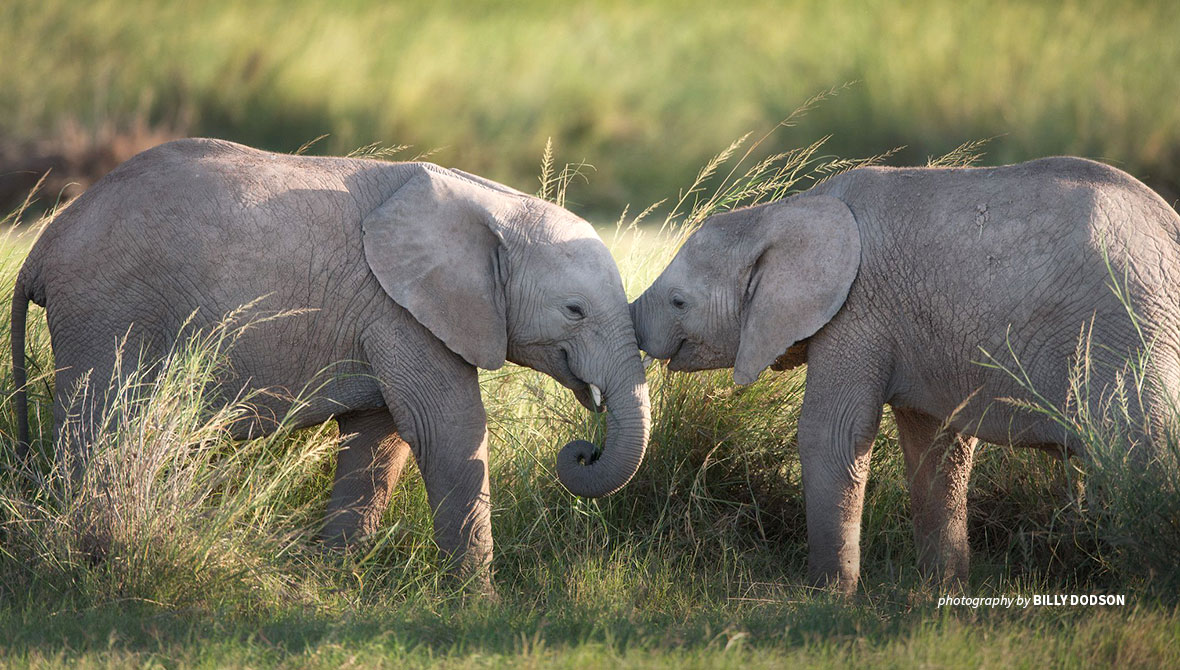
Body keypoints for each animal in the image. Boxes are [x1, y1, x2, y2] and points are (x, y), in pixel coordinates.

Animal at [11, 137, 656, 592]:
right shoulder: (399, 310)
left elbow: (380, 439)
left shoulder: (387, 315)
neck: (493, 204)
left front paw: (333, 582)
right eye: (574, 311)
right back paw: (88, 556)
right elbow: (445, 430)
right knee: (98, 426)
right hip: (104, 310)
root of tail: (43, 247)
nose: (583, 450)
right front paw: (480, 603)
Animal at [632, 156, 1180, 592]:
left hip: (1134, 338)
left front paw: (828, 597)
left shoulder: (857, 312)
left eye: (679, 302)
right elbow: (936, 448)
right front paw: (944, 592)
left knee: (1140, 456)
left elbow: (832, 433)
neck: (785, 211)